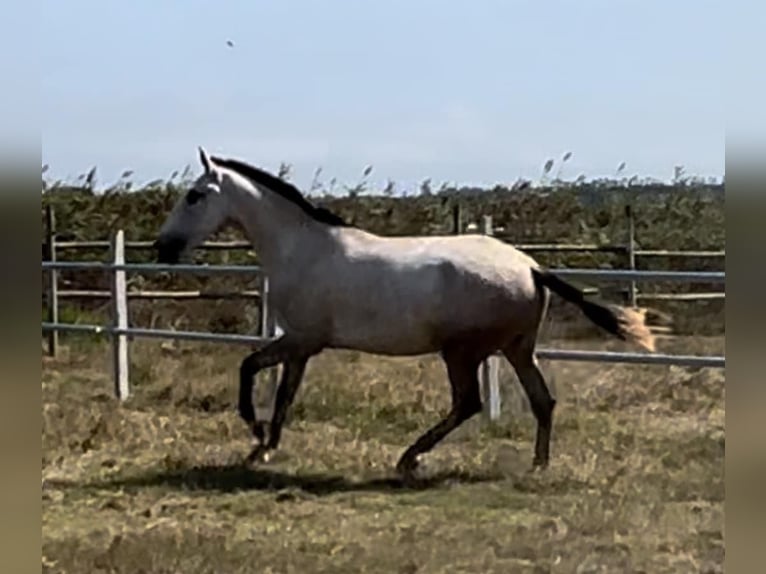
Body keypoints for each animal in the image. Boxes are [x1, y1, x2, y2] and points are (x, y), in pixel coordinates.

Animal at [156, 146, 660, 484]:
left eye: (195, 196)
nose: (164, 248)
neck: (302, 250)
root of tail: (532, 268)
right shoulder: (300, 345)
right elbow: (283, 395)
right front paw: (263, 448)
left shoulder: (302, 340)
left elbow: (249, 369)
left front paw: (255, 432)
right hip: (517, 349)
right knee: (542, 401)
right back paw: (537, 465)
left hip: (462, 352)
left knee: (469, 403)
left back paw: (409, 460)